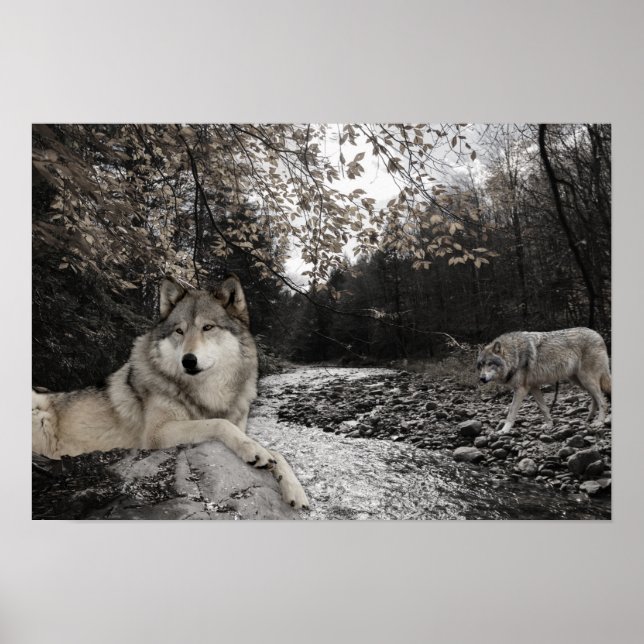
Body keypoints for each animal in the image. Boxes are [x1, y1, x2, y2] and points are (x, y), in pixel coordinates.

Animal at [32, 274, 309, 510]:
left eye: (208, 328)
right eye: (179, 331)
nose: (188, 360)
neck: (207, 394)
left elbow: (277, 453)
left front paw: (295, 490)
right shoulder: (156, 435)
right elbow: (218, 424)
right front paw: (253, 451)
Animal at [477, 327, 611, 434]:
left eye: (490, 364)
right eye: (481, 365)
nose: (482, 378)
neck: (515, 354)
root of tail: (598, 335)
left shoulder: (521, 389)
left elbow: (511, 411)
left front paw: (504, 430)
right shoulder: (534, 387)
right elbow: (544, 408)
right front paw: (550, 425)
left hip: (587, 380)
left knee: (602, 401)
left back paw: (599, 422)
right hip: (581, 382)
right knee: (595, 399)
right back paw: (588, 419)